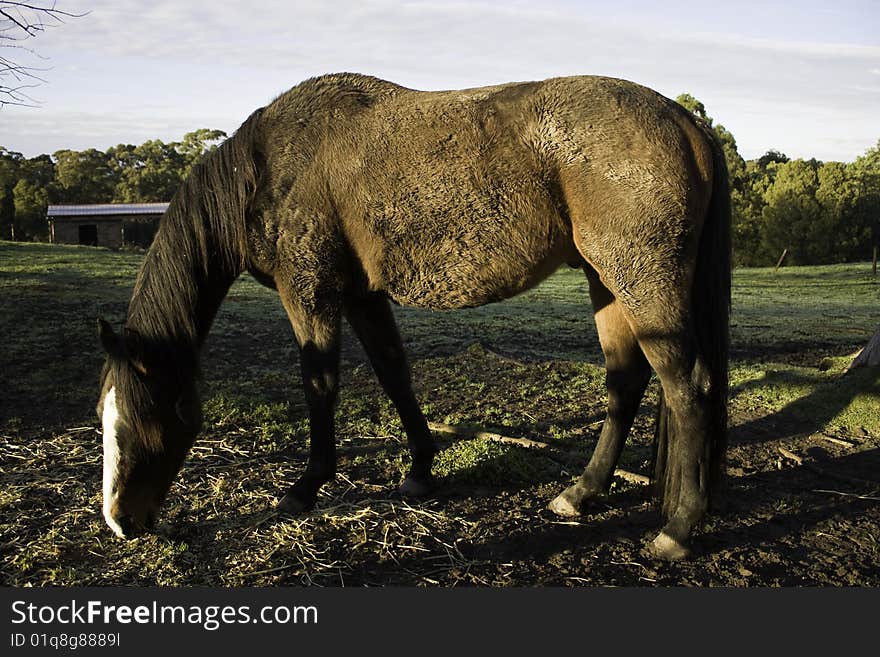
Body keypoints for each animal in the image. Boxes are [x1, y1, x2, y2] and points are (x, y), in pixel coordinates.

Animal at [94, 73, 728, 560]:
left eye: (145, 418)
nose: (120, 522)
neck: (267, 168)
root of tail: (685, 121)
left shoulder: (310, 293)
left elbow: (319, 385)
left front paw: (306, 487)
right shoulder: (361, 297)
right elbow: (394, 374)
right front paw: (421, 471)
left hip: (640, 281)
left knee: (688, 387)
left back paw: (677, 531)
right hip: (607, 283)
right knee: (626, 382)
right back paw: (582, 493)